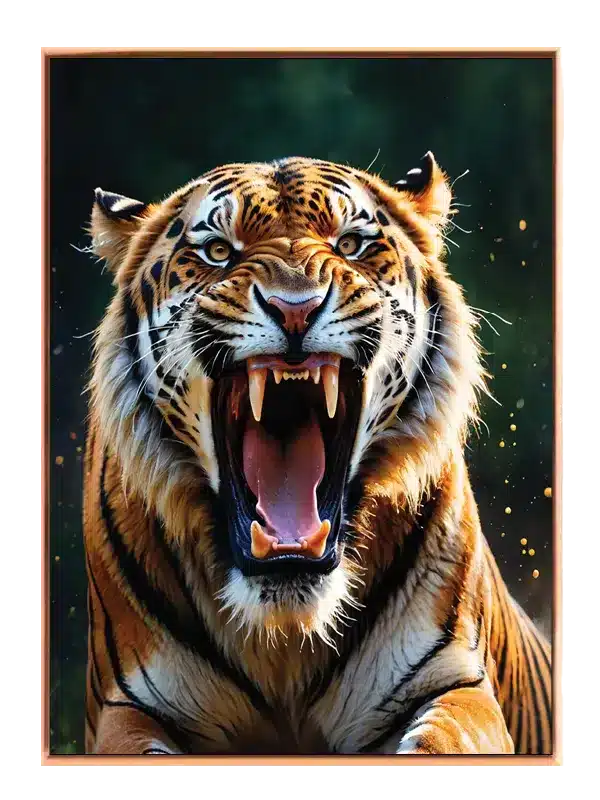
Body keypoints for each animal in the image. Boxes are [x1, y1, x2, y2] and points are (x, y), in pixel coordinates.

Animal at [82, 153, 552, 756]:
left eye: (350, 244)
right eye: (218, 251)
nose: (295, 308)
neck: (284, 635)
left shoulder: (453, 685)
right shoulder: (130, 707)